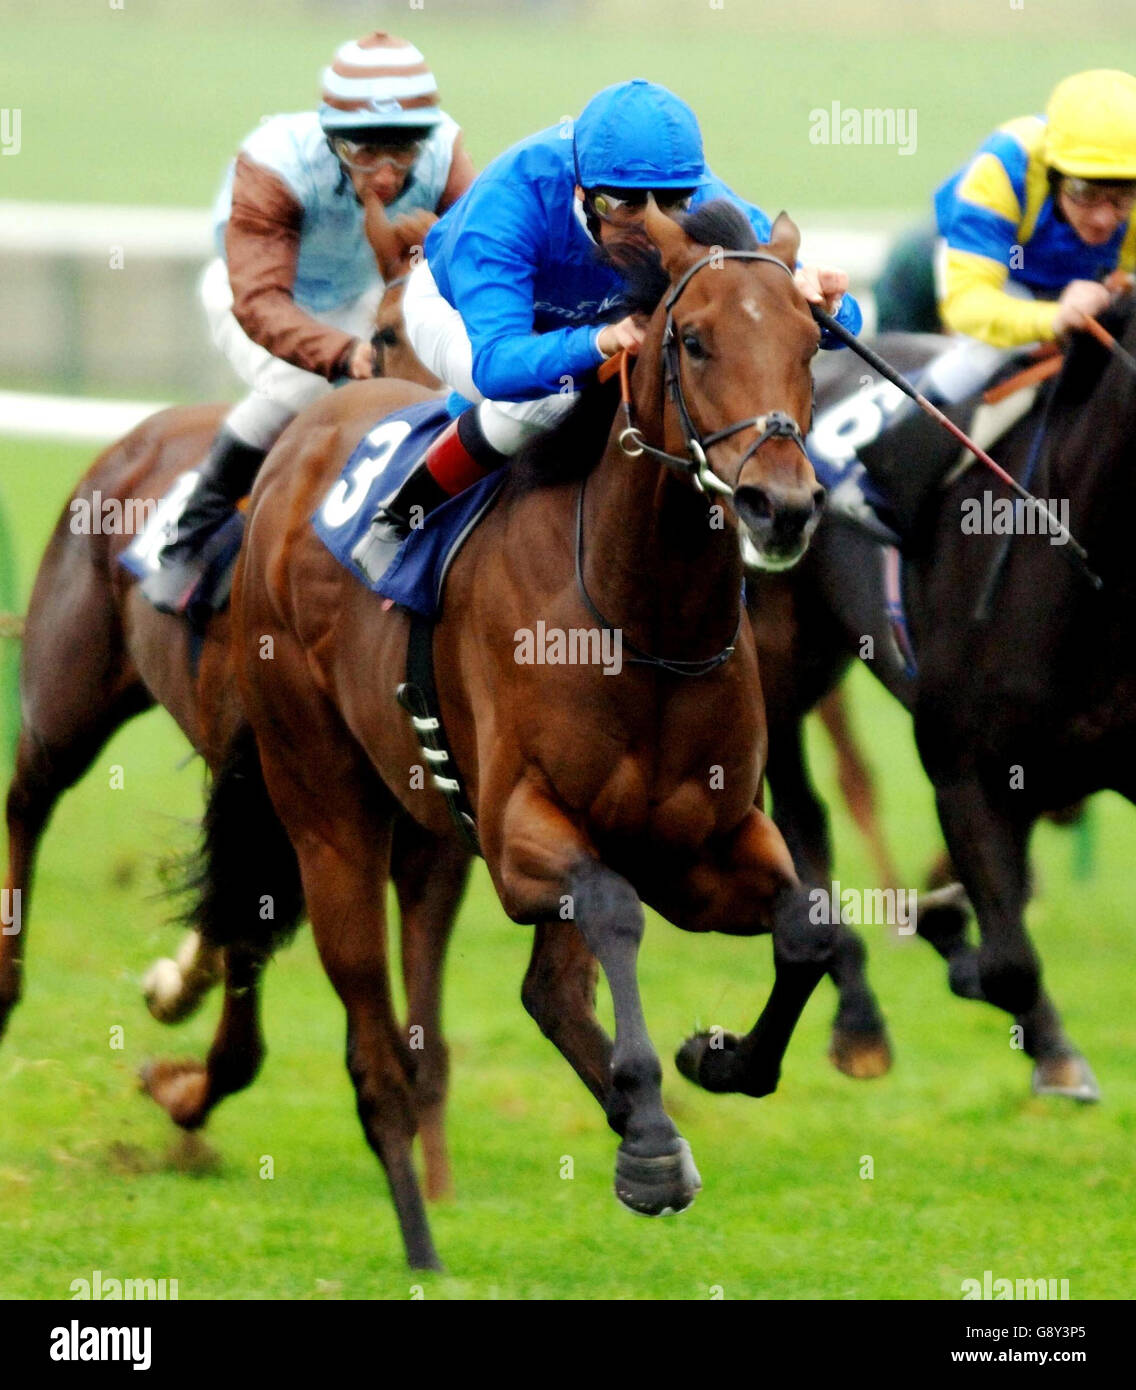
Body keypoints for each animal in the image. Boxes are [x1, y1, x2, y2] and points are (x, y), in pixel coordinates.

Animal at [197, 198, 839, 1273]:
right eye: (695, 341)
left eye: (811, 340)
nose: (780, 506)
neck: (641, 614)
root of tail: (299, 445)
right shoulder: (519, 830)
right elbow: (613, 911)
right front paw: (652, 1141)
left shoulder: (702, 846)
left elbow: (810, 931)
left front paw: (718, 1060)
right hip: (328, 816)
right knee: (377, 1054)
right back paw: (424, 1252)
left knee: (548, 993)